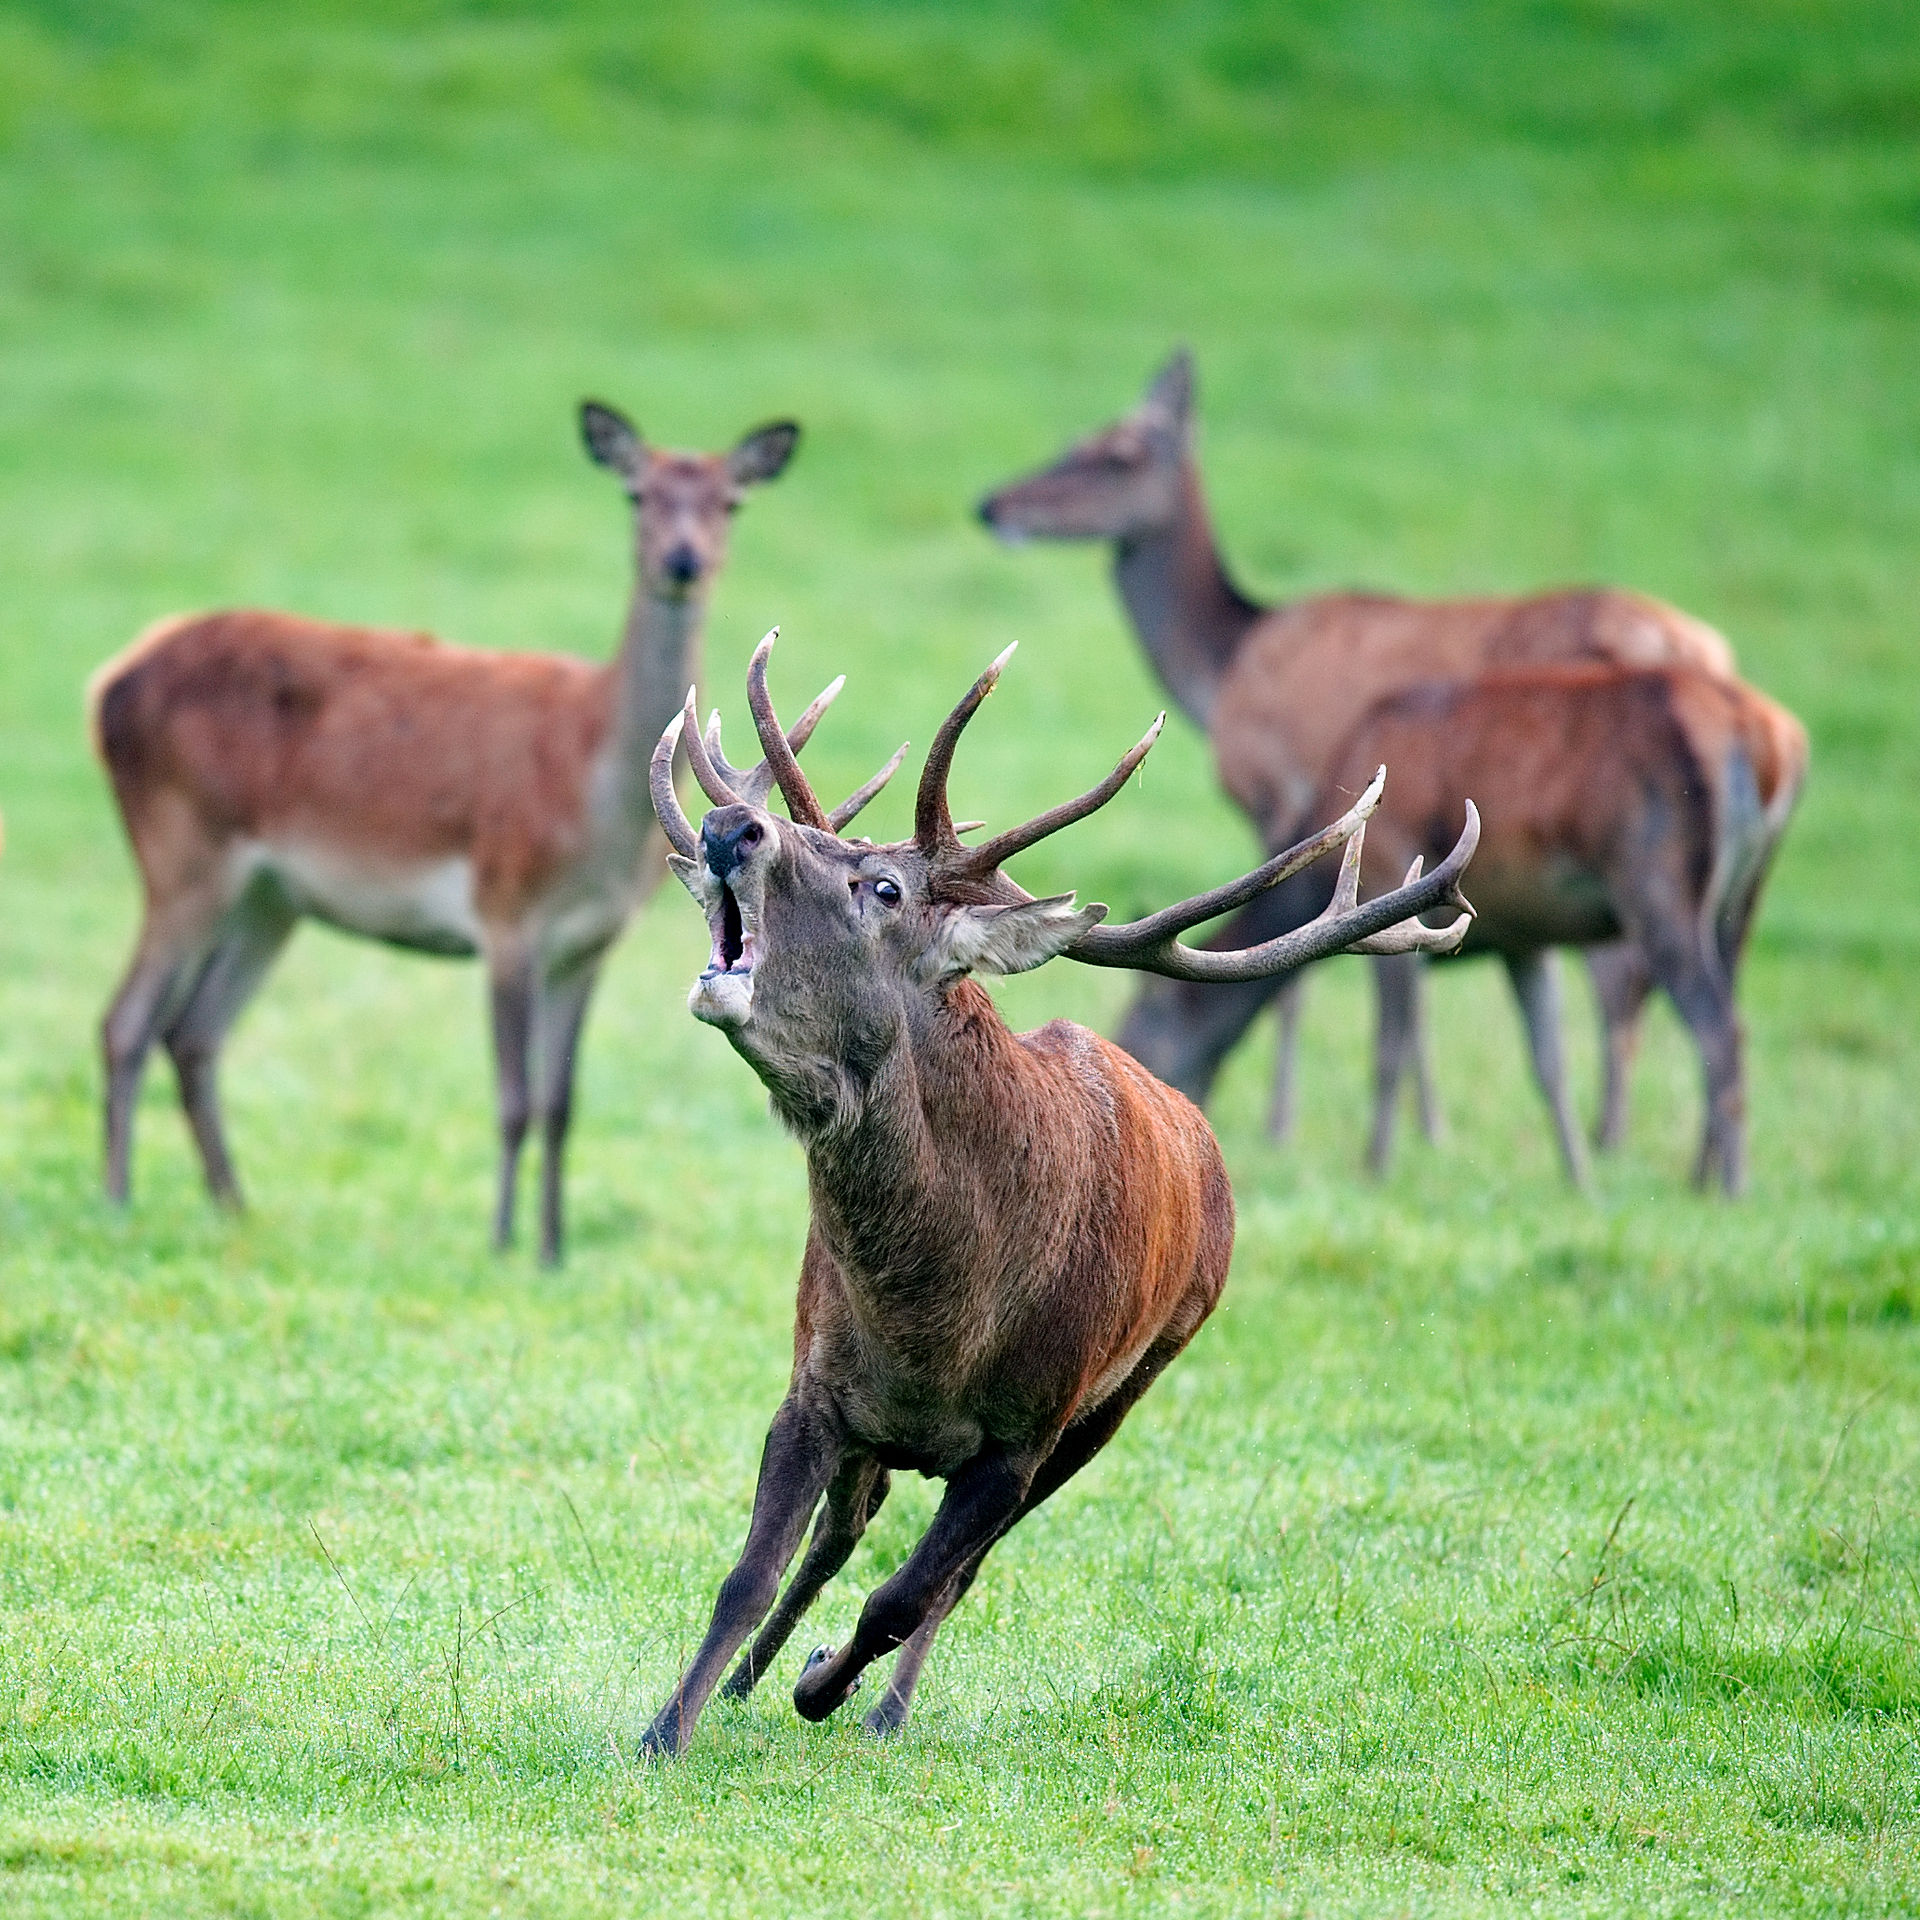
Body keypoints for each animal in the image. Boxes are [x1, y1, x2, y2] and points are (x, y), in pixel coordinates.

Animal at [90, 395, 802, 1259]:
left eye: (731, 502)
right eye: (638, 494)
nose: (683, 562)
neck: (595, 807)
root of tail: (109, 680)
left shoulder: (590, 942)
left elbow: (562, 1105)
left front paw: (553, 1250)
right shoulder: (505, 912)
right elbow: (514, 1100)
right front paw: (500, 1242)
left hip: (270, 898)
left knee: (192, 1032)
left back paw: (234, 1207)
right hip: (181, 848)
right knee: (126, 1022)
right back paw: (119, 1200)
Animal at [629, 633, 1466, 1758]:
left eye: (881, 888)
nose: (731, 826)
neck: (938, 1320)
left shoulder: (1022, 1439)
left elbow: (907, 1595)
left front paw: (826, 1691)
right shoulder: (817, 1386)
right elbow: (749, 1573)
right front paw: (669, 1728)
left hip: (1122, 1396)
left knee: (952, 1578)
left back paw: (878, 1706)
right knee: (845, 1532)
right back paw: (753, 1682)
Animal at [983, 349, 1751, 1167]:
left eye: (1117, 454)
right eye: (1078, 437)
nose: (992, 505)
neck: (1221, 670)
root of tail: (1709, 653)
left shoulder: (1281, 794)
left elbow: (1313, 989)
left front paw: (1303, 1129)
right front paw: (1427, 1132)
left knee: (1640, 991)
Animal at [1121, 668, 1804, 1190]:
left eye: (1143, 1022)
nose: (1169, 1106)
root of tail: (1767, 743)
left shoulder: (1390, 873)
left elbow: (1391, 1047)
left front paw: (1375, 1167)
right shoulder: (1525, 942)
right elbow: (1549, 1062)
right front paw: (1580, 1180)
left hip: (1659, 890)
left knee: (1720, 1030)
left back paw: (1731, 1188)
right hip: (1741, 902)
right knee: (1726, 1018)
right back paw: (1701, 1175)